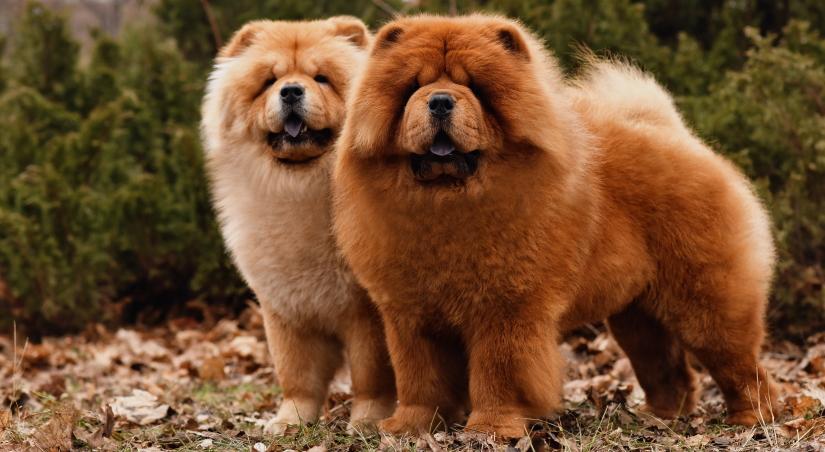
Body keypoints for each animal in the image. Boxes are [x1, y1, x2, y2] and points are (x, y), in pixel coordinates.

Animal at [330, 14, 780, 438]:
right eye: (413, 88)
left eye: (475, 88)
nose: (440, 100)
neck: (445, 205)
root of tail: (682, 139)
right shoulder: (410, 316)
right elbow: (420, 379)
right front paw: (410, 426)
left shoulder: (506, 310)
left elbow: (498, 373)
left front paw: (491, 428)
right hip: (636, 317)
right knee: (667, 369)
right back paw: (660, 418)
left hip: (706, 304)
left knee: (741, 365)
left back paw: (751, 419)